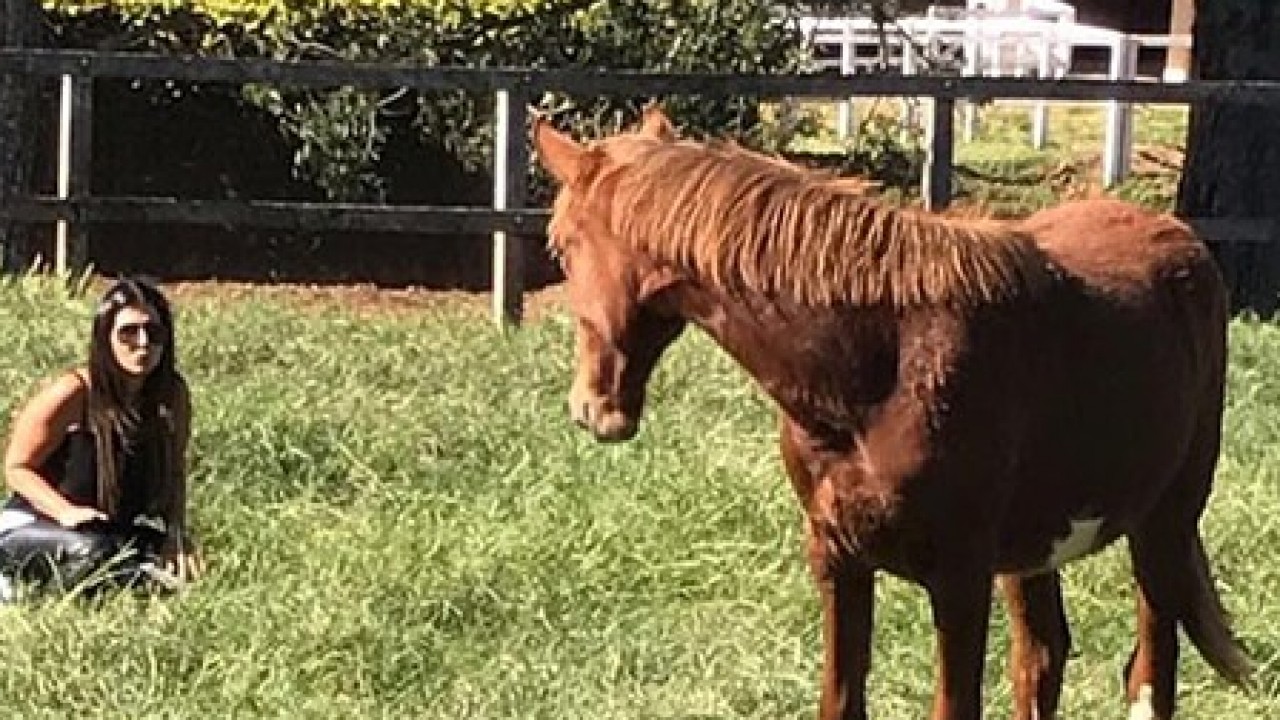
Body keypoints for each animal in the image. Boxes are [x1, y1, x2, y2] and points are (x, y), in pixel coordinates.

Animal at [529, 107, 1249, 717]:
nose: (592, 408)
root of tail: (1182, 240)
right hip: (1036, 548)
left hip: (1163, 524)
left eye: (561, 247)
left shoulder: (959, 580)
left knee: (1151, 671)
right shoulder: (837, 558)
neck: (881, 367)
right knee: (1044, 657)